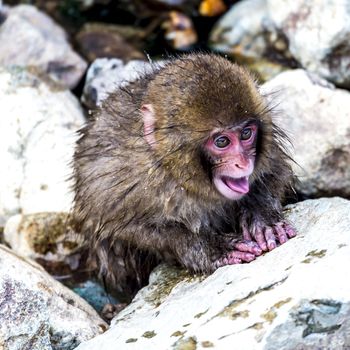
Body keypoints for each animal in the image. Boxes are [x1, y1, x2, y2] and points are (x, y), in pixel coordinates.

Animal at [73, 53, 296, 296]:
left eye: (246, 134)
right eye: (222, 141)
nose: (243, 163)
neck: (171, 166)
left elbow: (275, 172)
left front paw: (263, 216)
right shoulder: (120, 183)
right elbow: (127, 231)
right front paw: (212, 248)